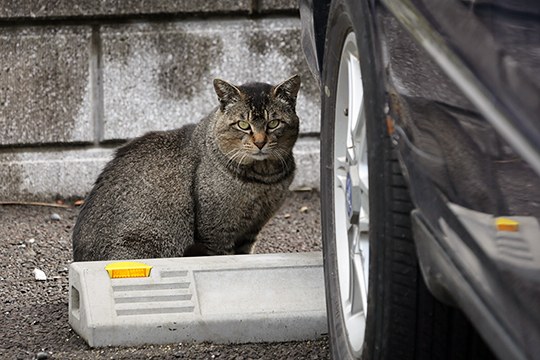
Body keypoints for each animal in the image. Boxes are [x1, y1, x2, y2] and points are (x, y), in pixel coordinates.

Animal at [70, 75, 304, 262]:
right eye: (243, 125)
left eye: (273, 123)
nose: (260, 142)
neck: (263, 180)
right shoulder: (216, 232)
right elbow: (222, 256)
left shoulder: (250, 231)